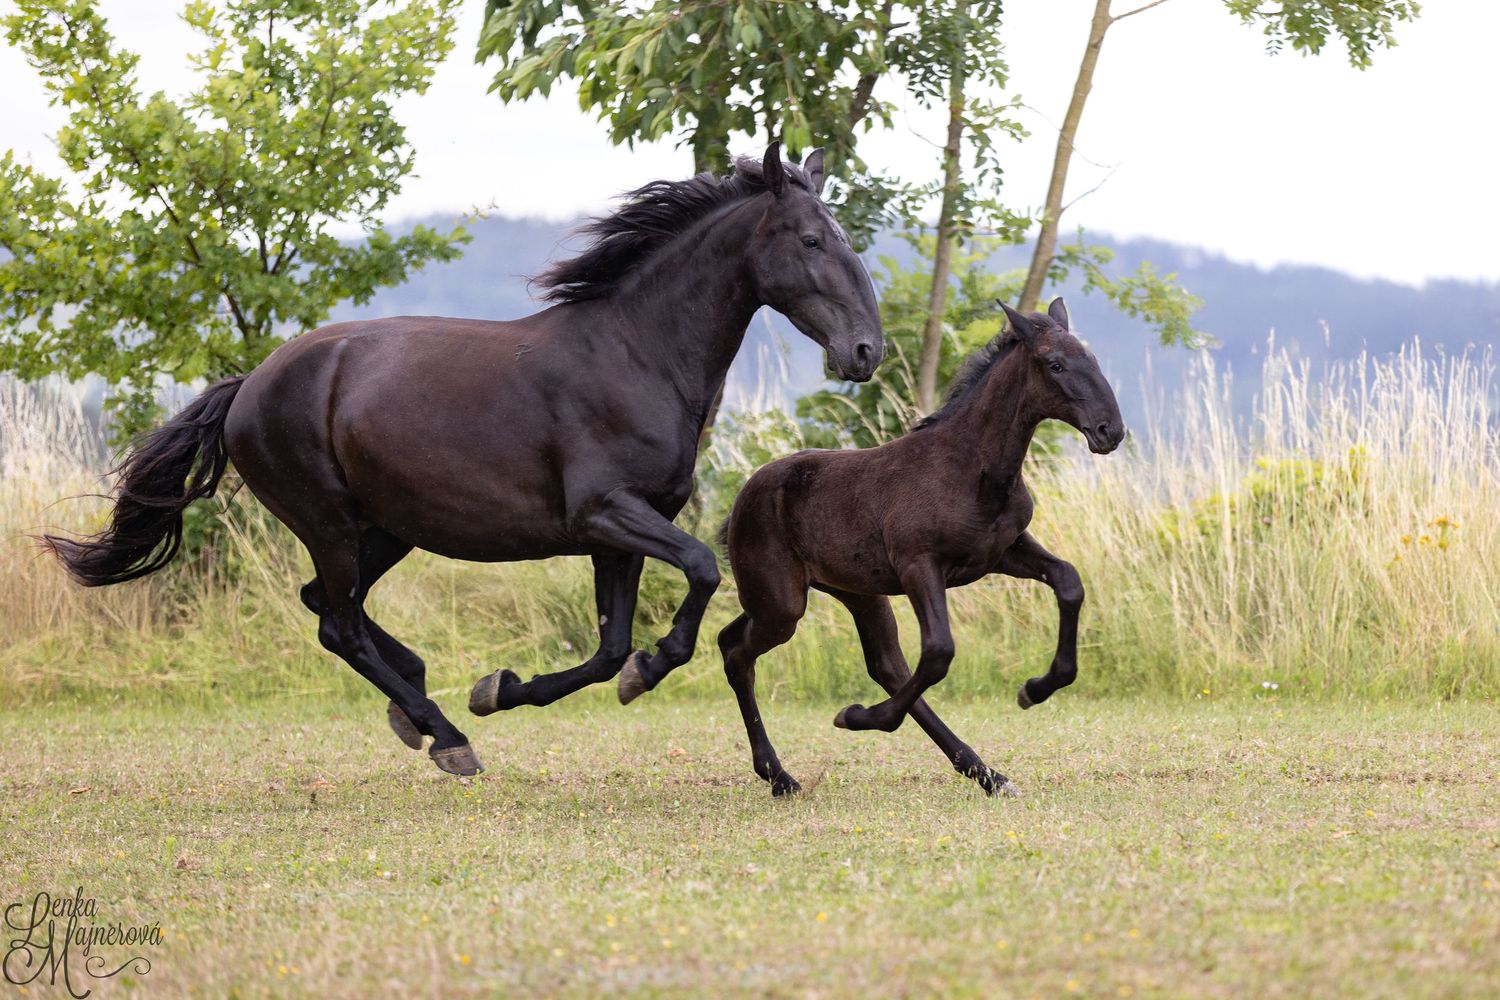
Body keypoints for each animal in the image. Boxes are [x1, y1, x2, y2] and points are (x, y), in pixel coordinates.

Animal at [43, 144, 883, 778]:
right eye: (812, 241)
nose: (864, 351)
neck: (634, 355)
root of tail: (249, 384)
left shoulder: (621, 531)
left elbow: (609, 648)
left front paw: (504, 686)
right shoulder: (606, 513)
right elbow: (702, 572)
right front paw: (629, 674)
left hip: (385, 529)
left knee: (329, 608)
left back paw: (417, 705)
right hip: (329, 521)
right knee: (340, 625)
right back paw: (447, 737)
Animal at [717, 298, 1124, 798]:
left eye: (1093, 360)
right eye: (1056, 364)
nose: (1110, 431)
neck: (972, 469)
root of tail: (740, 500)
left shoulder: (1002, 551)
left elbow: (1068, 582)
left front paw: (1033, 690)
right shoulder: (918, 565)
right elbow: (939, 651)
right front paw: (857, 715)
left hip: (851, 594)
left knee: (878, 663)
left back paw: (989, 775)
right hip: (782, 602)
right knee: (739, 654)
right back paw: (781, 776)